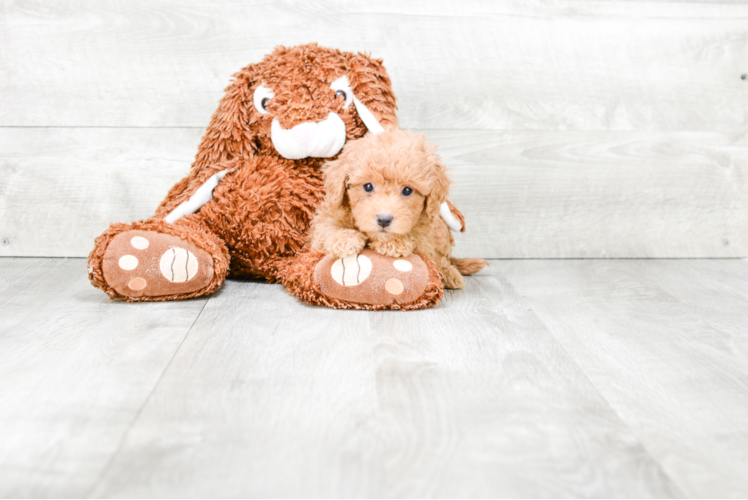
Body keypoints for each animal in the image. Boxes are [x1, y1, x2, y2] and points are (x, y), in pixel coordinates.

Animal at [308, 128, 486, 290]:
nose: (384, 220)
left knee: (443, 258)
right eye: (368, 186)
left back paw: (450, 274)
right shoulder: (327, 216)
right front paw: (345, 240)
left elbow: (418, 239)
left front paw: (395, 243)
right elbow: (328, 229)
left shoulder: (426, 233)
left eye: (407, 190)